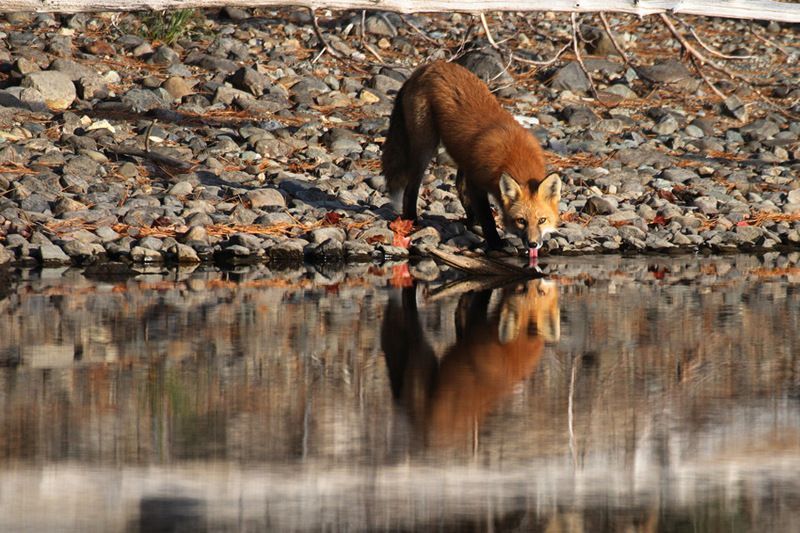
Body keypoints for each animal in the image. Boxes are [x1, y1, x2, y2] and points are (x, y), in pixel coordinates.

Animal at [382, 61, 564, 258]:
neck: (515, 155)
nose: (532, 244)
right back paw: (412, 220)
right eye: (521, 221)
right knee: (411, 189)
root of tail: (429, 66)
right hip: (425, 147)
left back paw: (471, 222)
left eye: (542, 220)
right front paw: (496, 243)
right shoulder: (477, 183)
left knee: (458, 185)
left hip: (462, 159)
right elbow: (487, 217)